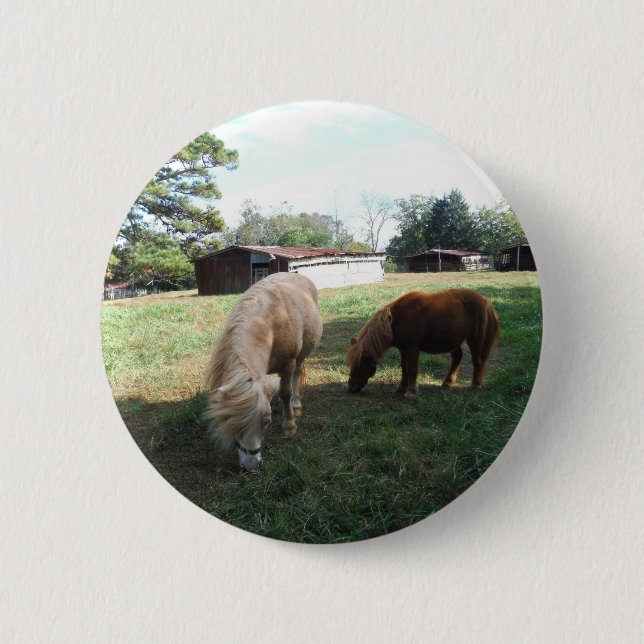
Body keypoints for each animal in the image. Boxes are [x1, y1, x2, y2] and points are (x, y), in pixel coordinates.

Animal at [205, 272, 323, 471]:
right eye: (233, 427)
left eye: (267, 422)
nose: (251, 466)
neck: (271, 324)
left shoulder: (289, 363)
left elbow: (285, 392)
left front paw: (289, 425)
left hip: (300, 357)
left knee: (296, 377)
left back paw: (296, 405)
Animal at [346, 288, 499, 397]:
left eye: (360, 364)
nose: (351, 388)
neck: (395, 320)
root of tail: (485, 300)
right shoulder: (403, 349)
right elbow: (404, 368)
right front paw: (401, 387)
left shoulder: (412, 349)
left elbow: (412, 368)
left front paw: (411, 392)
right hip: (454, 340)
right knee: (457, 357)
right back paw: (448, 382)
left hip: (474, 339)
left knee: (477, 360)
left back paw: (476, 384)